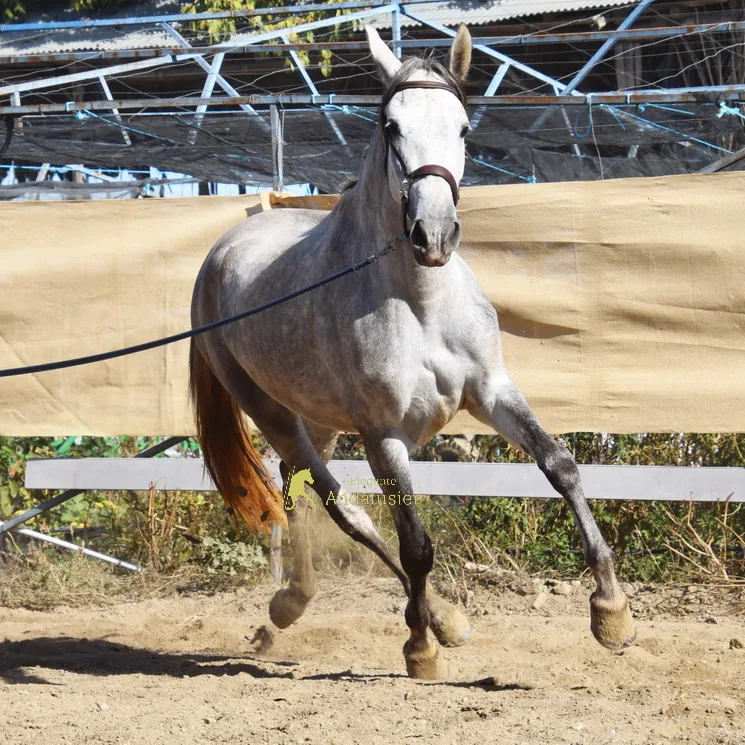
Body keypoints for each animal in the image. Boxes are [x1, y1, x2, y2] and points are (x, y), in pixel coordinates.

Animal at [189, 24, 636, 680]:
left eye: (464, 128)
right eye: (390, 126)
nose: (434, 234)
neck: (419, 300)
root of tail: (219, 253)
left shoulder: (492, 391)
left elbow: (561, 466)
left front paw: (611, 613)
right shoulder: (384, 436)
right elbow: (416, 543)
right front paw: (420, 648)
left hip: (316, 419)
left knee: (302, 492)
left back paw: (306, 602)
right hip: (272, 413)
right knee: (341, 508)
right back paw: (417, 619)